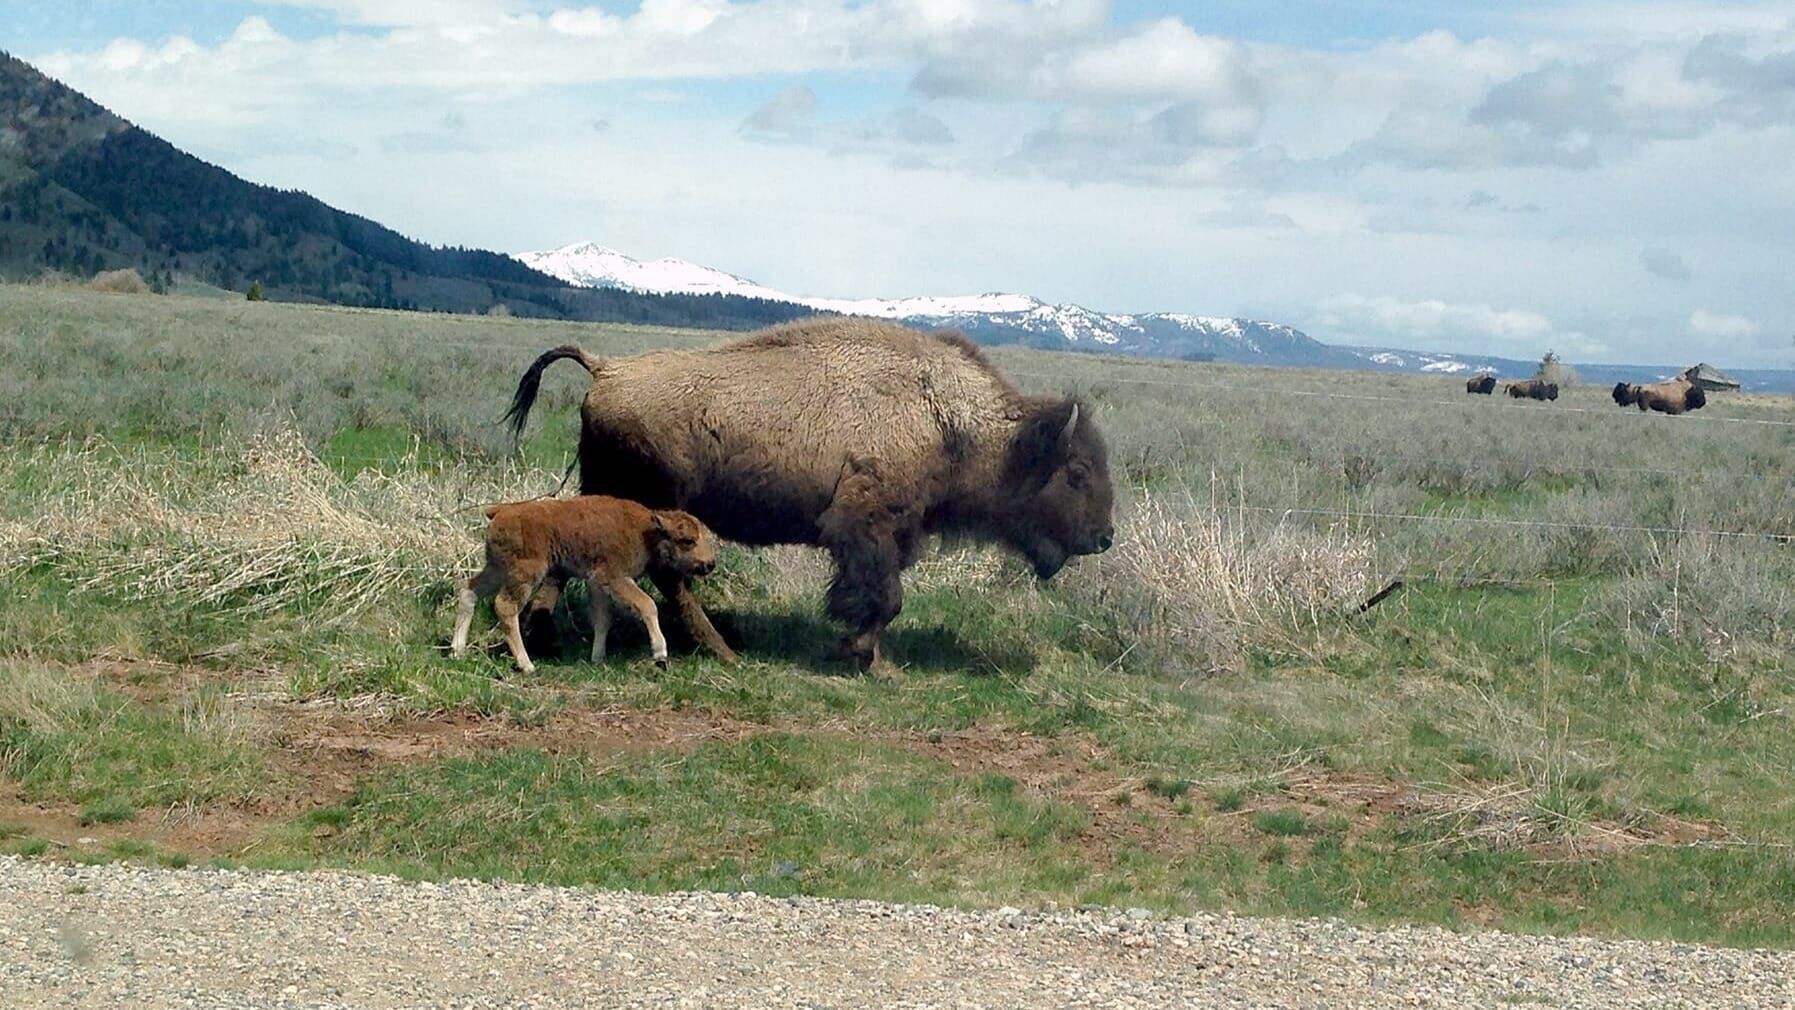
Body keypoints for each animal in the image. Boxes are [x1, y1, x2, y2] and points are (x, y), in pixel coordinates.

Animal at [452, 495, 718, 674]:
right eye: (687, 540)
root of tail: (501, 511)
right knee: (505, 607)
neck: (646, 530)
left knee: (469, 591)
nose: (710, 564)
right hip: (524, 575)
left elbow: (602, 619)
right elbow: (647, 604)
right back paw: (527, 665)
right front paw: (660, 653)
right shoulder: (614, 577)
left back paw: (457, 650)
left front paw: (598, 657)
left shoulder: (597, 582)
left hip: (497, 570)